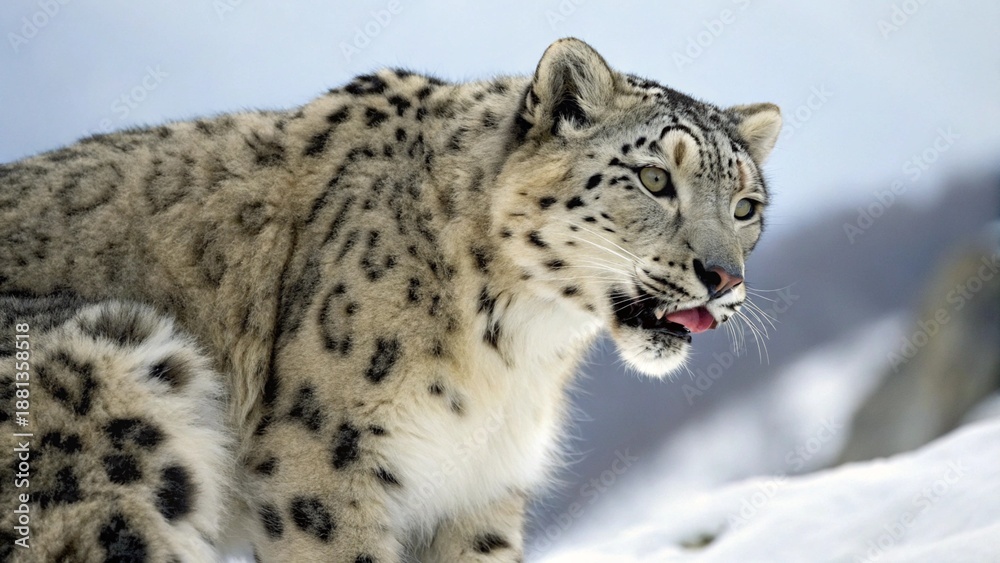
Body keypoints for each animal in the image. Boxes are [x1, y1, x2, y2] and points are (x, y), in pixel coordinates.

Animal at [0, 38, 781, 561]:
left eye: (746, 206)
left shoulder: (480, 491)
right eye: (653, 178)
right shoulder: (322, 463)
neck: (517, 358)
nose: (723, 277)